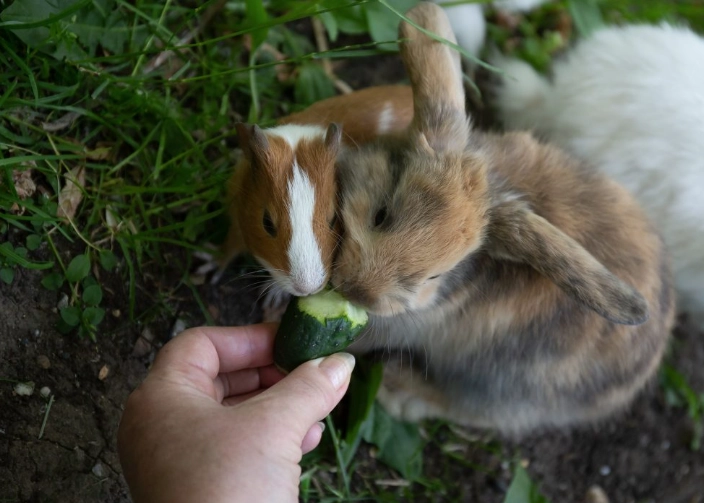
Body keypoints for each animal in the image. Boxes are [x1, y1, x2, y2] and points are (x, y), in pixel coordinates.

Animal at [223, 86, 413, 306]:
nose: (307, 289)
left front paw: (273, 297)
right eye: (267, 223)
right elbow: (229, 247)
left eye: (333, 218)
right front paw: (209, 265)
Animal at [331, 2, 675, 435]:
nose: (359, 293)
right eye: (381, 214)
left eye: (435, 276)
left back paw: (401, 392)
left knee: (472, 409)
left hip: (500, 385)